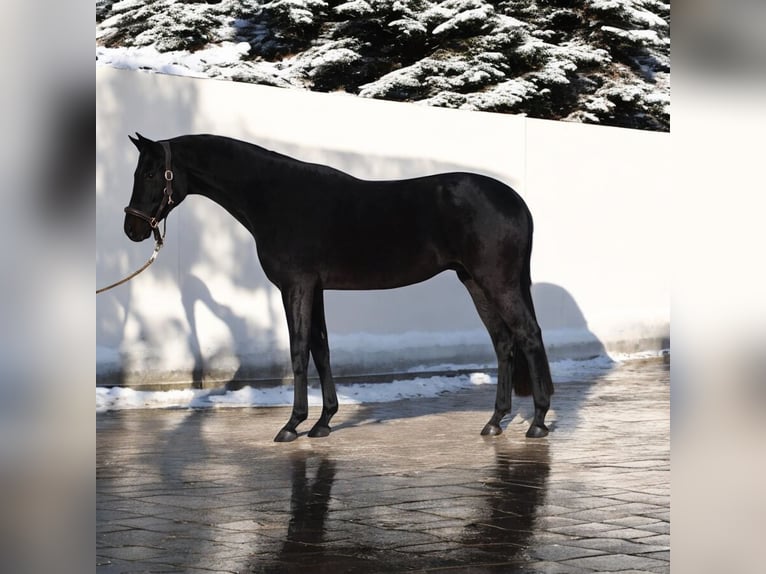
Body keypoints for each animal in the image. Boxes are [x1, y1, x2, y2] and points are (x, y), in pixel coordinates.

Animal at [126, 135, 556, 446]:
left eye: (151, 174)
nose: (133, 228)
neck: (274, 196)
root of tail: (516, 202)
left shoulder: (296, 286)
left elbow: (299, 351)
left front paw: (292, 424)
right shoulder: (314, 289)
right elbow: (321, 350)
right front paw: (323, 422)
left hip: (496, 281)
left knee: (528, 335)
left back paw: (537, 422)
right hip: (474, 282)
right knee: (503, 342)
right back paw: (494, 422)